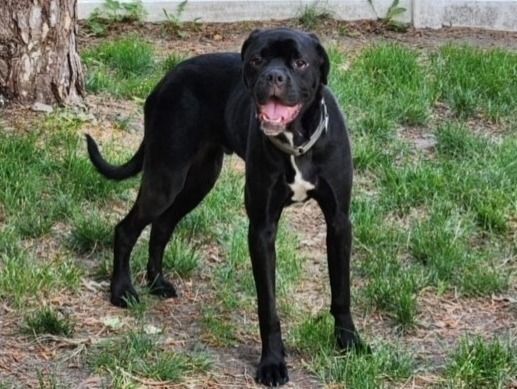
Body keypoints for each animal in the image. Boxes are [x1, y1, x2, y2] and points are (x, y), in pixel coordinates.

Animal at [85, 28, 362, 384]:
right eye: (257, 59)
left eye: (300, 62)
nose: (274, 76)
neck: (297, 143)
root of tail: (166, 78)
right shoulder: (262, 229)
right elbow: (268, 305)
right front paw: (272, 363)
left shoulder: (339, 222)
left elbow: (341, 290)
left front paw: (349, 342)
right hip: (166, 176)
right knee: (127, 228)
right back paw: (121, 290)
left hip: (199, 179)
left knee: (162, 226)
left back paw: (157, 282)